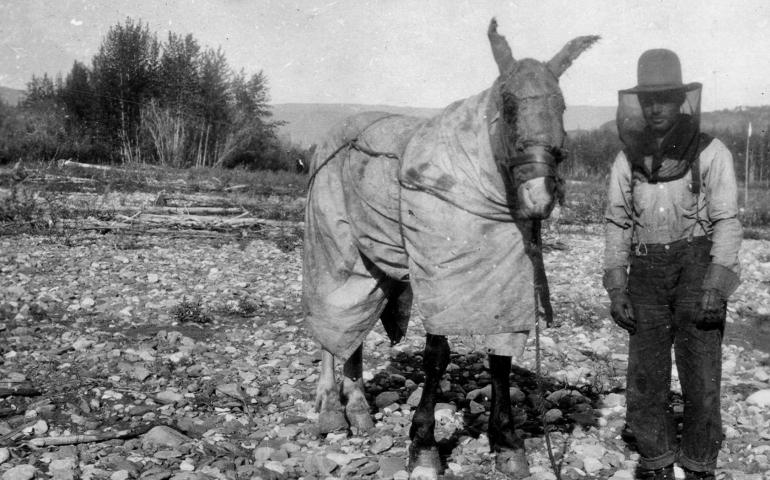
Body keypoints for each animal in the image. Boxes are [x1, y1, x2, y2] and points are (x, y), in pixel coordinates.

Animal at [300, 16, 592, 478]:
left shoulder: (504, 287)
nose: (539, 196)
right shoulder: (439, 275)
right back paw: (332, 410)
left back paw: (360, 409)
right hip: (331, 244)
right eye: (508, 105)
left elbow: (501, 360)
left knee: (354, 330)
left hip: (372, 262)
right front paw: (423, 445)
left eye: (561, 106)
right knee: (332, 323)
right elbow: (437, 355)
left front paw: (507, 442)